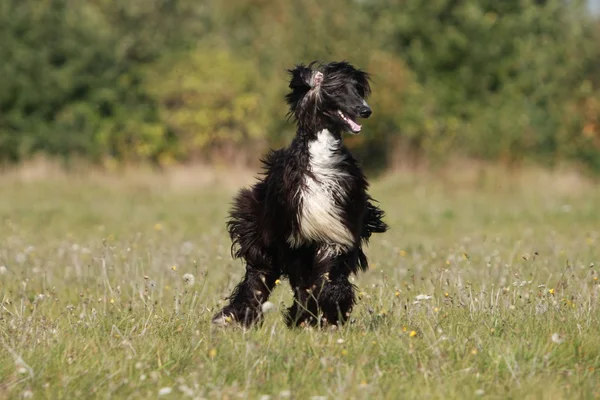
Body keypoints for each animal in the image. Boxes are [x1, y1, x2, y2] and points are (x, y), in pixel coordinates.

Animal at [212, 59, 390, 328]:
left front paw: (328, 307)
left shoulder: (336, 231)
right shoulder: (292, 238)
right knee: (258, 275)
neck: (320, 157)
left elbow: (328, 276)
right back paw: (239, 314)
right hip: (260, 233)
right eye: (338, 89)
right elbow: (300, 282)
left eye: (358, 89)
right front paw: (311, 313)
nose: (365, 110)